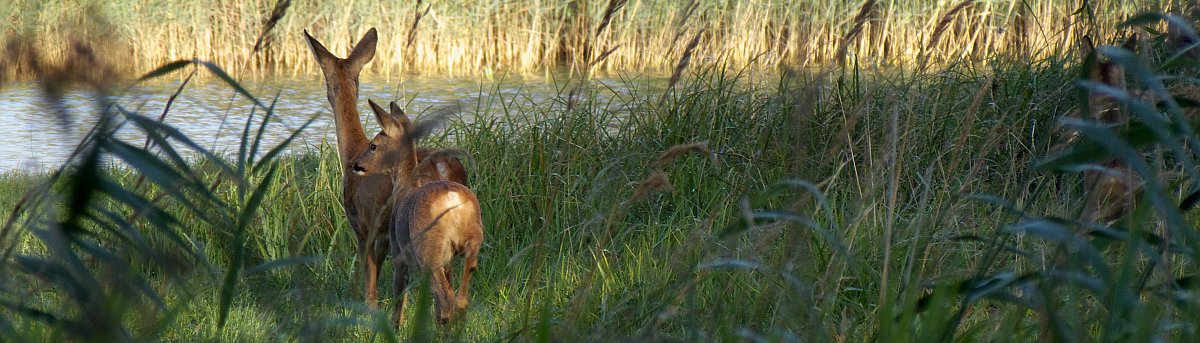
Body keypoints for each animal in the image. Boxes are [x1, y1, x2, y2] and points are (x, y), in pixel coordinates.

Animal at [304, 28, 472, 307]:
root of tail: (443, 167)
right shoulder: (383, 233)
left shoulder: (362, 225)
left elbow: (369, 279)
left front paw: (366, 306)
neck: (352, 151)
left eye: (326, 81)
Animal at [350, 100, 482, 326]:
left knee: (446, 296)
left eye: (373, 145)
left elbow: (399, 296)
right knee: (460, 299)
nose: (357, 165)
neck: (405, 187)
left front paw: (395, 326)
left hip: (429, 251)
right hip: (472, 243)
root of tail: (454, 201)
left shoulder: (398, 254)